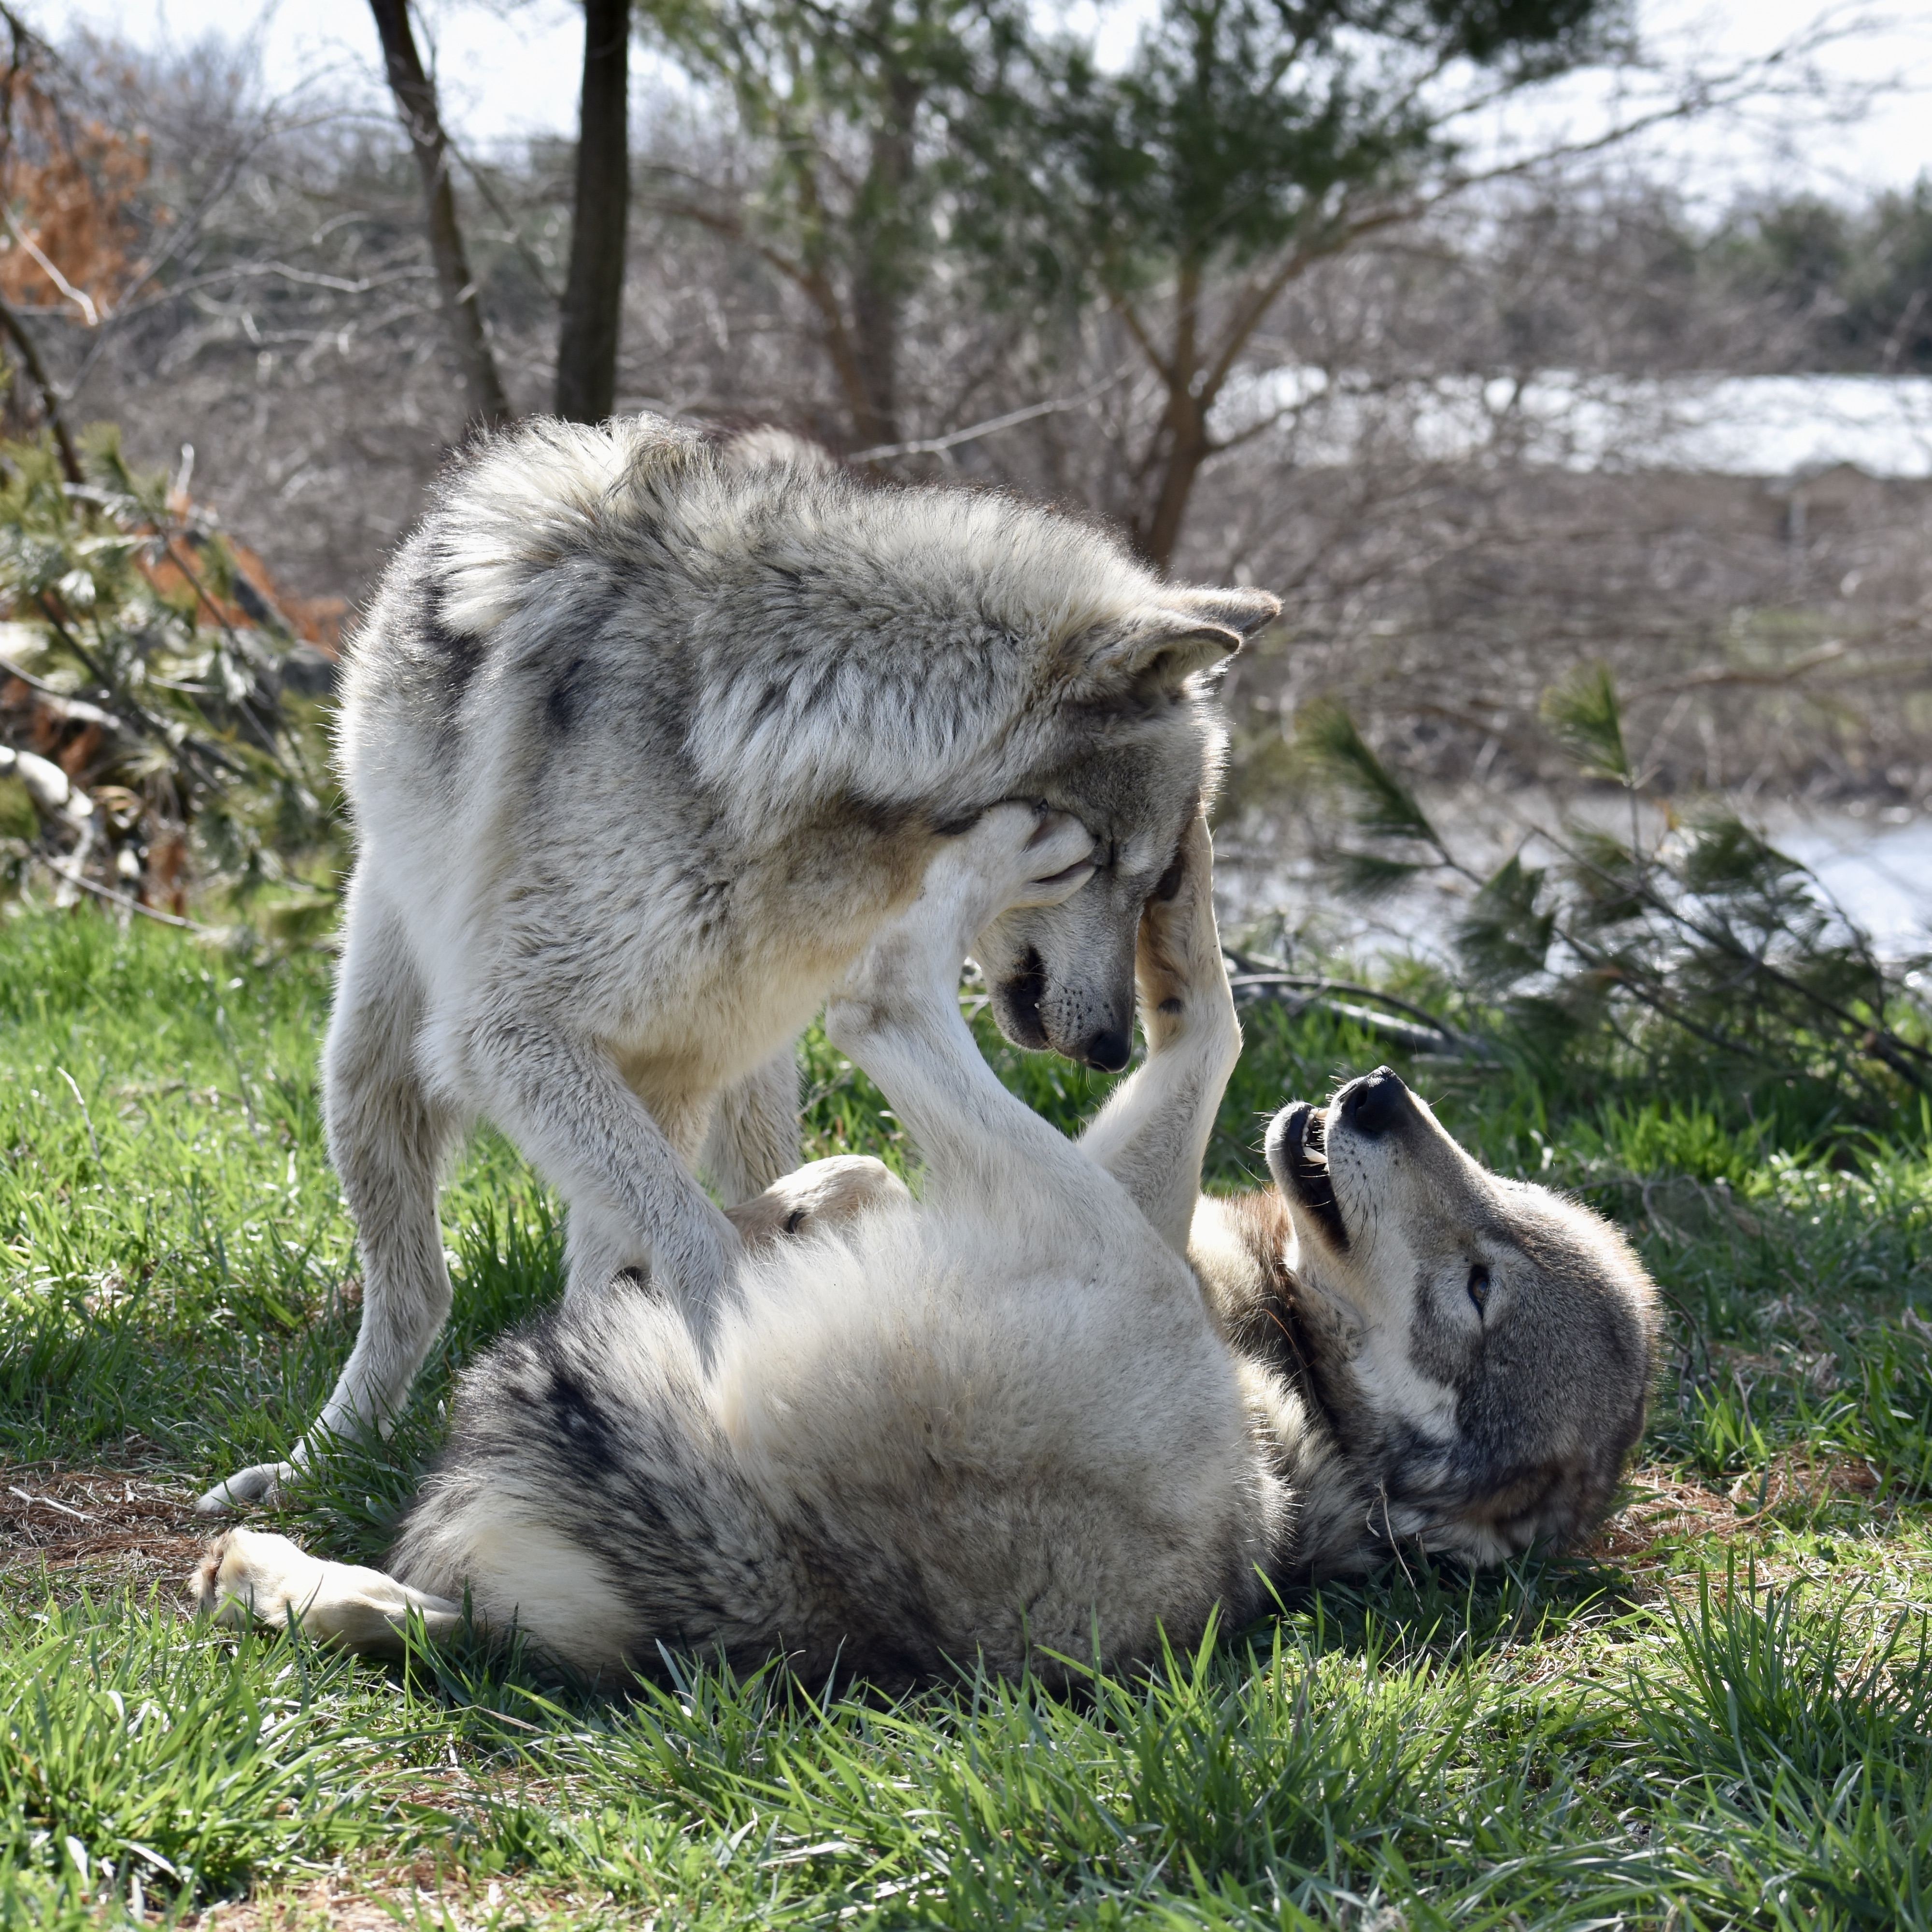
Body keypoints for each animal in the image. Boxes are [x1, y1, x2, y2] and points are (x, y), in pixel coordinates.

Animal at [200, 415, 1283, 1515]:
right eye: (1092, 859)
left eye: (1159, 878)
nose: (1111, 1048)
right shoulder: (513, 1036)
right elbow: (697, 1242)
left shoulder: (670, 1059)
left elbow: (662, 1239)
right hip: (374, 1076)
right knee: (418, 1291)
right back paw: (317, 1462)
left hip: (744, 1076)